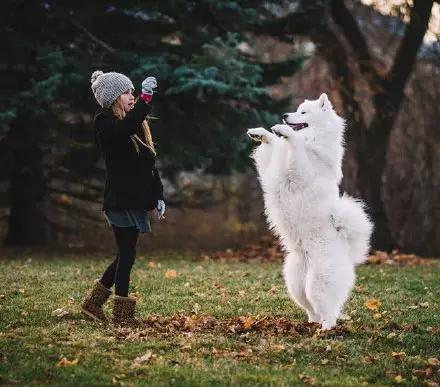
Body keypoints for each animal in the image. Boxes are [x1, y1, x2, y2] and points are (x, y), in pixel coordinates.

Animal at [248, 93, 372, 330]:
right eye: (296, 110)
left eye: (303, 112)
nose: (284, 115)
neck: (313, 144)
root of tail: (347, 252)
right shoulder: (271, 169)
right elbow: (272, 146)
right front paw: (260, 132)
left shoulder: (299, 172)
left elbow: (294, 145)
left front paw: (284, 132)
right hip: (296, 285)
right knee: (312, 308)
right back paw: (311, 323)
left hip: (318, 284)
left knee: (329, 311)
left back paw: (326, 329)